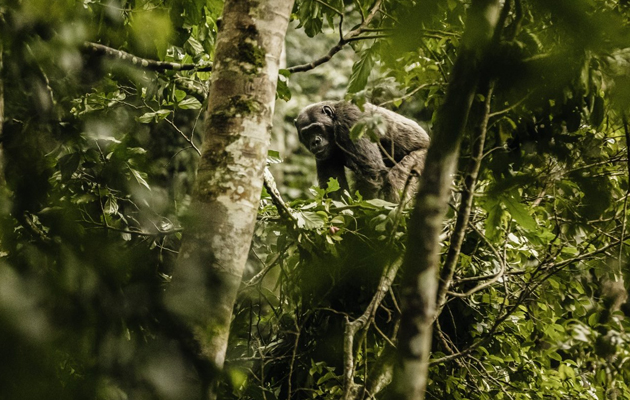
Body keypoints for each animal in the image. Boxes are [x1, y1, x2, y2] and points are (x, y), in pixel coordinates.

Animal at [296, 100, 432, 200]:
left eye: (316, 128)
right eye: (307, 133)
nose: (315, 141)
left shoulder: (350, 120)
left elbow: (371, 172)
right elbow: (333, 183)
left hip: (422, 157)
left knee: (396, 179)